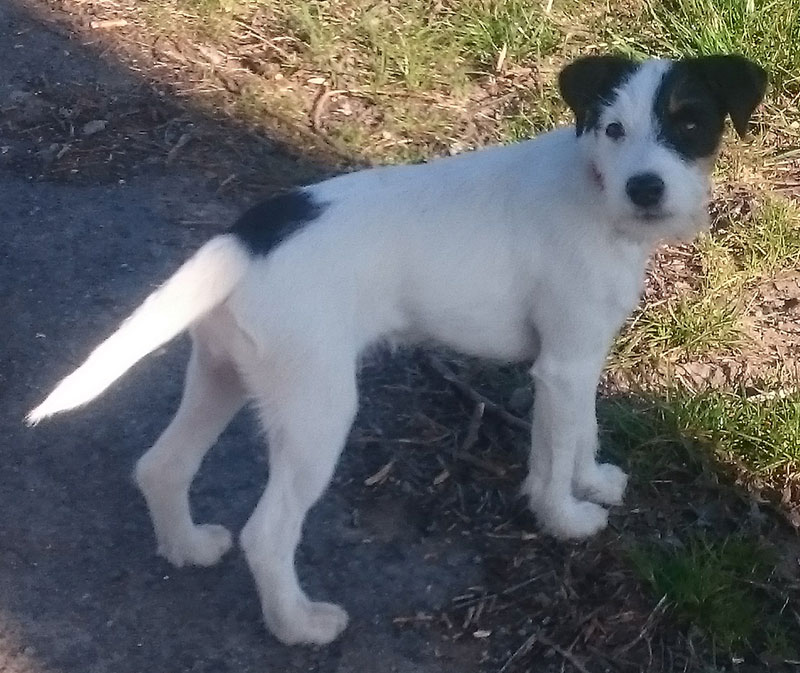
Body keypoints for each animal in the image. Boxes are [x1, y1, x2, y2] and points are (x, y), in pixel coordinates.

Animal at [29, 56, 768, 644]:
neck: (594, 187)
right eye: (613, 129)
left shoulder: (578, 359)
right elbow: (556, 456)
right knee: (266, 535)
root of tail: (243, 239)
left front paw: (590, 482)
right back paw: (299, 626)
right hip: (316, 410)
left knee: (163, 465)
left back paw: (185, 547)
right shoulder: (561, 365)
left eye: (690, 123)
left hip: (222, 374)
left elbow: (577, 434)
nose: (646, 188)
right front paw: (564, 518)